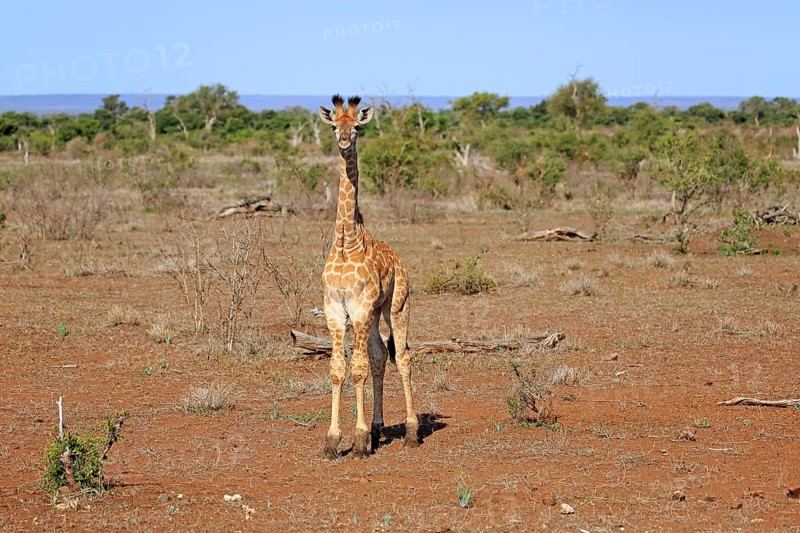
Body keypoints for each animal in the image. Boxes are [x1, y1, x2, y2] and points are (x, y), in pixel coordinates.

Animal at [318, 94, 418, 459]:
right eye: (335, 126)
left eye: (358, 127)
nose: (345, 141)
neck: (346, 243)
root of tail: (400, 260)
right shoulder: (335, 309)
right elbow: (338, 368)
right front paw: (333, 441)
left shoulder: (359, 308)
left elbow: (357, 368)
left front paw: (358, 440)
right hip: (374, 315)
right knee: (379, 355)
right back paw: (378, 428)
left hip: (396, 305)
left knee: (402, 356)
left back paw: (411, 432)